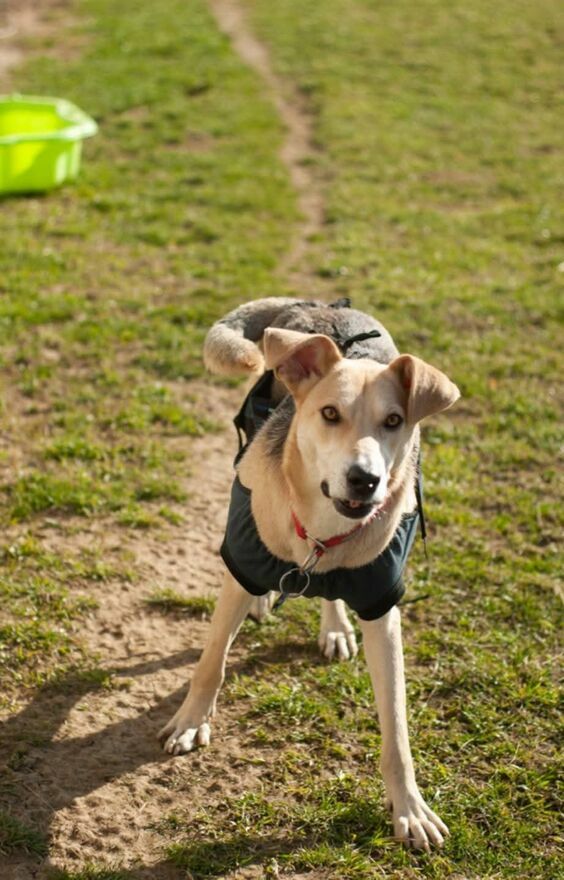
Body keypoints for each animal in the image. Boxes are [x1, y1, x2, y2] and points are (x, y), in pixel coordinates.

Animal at [159, 297, 460, 850]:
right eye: (329, 414)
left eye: (393, 420)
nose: (365, 480)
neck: (322, 534)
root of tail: (317, 307)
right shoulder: (240, 562)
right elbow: (212, 661)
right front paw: (190, 723)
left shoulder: (381, 604)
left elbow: (397, 727)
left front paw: (409, 808)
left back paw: (335, 625)